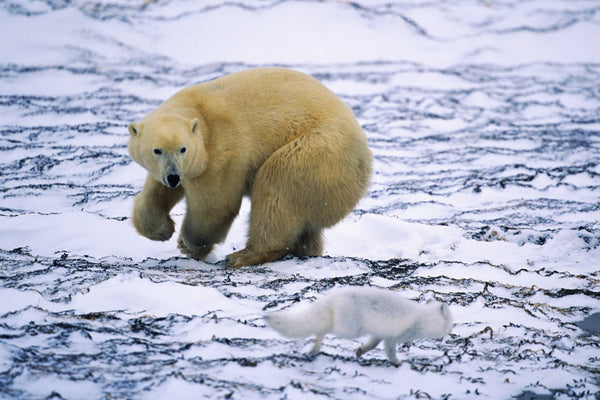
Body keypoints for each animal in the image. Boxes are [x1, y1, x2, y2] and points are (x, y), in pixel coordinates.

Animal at [127, 68, 370, 268]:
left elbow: (216, 204)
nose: (173, 176)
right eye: (157, 150)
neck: (199, 112)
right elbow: (156, 192)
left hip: (318, 150)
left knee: (277, 186)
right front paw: (162, 229)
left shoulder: (222, 151)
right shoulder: (169, 169)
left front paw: (188, 244)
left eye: (182, 148)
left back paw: (244, 255)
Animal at [264, 284, 452, 366]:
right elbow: (390, 351)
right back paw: (316, 347)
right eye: (450, 321)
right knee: (322, 329)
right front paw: (398, 362)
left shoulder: (379, 333)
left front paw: (361, 351)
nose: (451, 331)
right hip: (348, 329)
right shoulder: (392, 337)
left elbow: (372, 344)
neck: (423, 317)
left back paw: (315, 348)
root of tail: (331, 297)